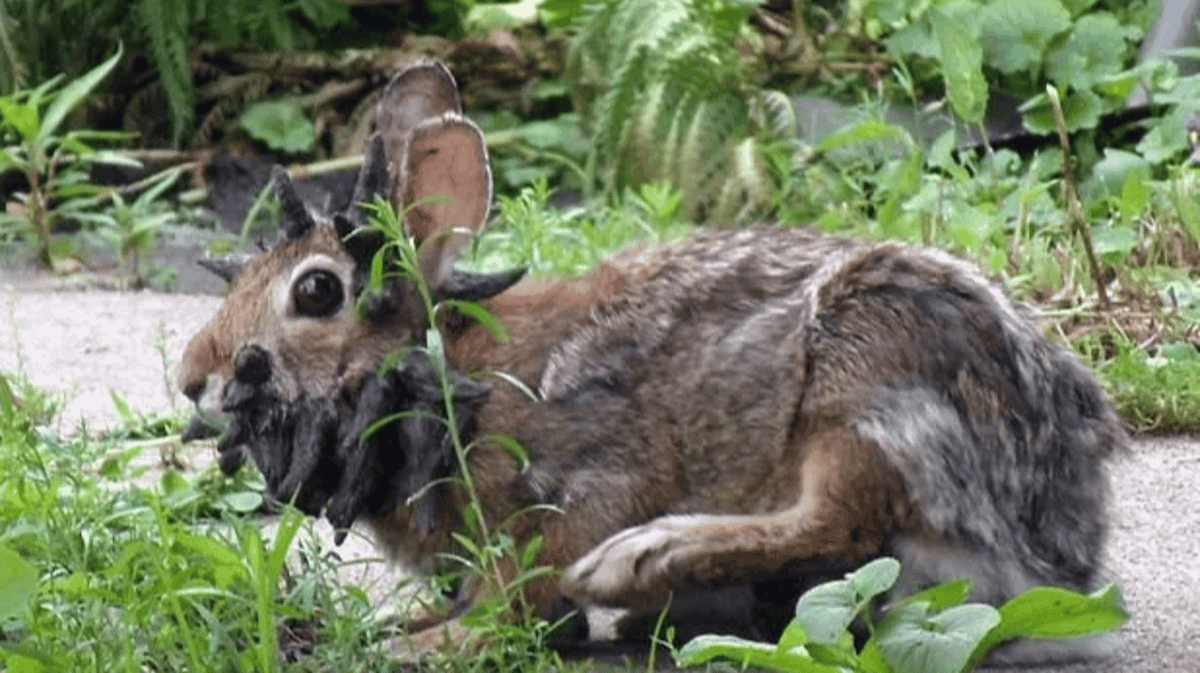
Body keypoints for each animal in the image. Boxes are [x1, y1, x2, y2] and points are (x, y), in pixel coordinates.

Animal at [177, 60, 1126, 664]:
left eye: (315, 293)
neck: (448, 370)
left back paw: (644, 562)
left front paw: (440, 643)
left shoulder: (580, 481)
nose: (194, 376)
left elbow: (526, 588)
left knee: (837, 522)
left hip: (863, 381)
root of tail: (1059, 543)